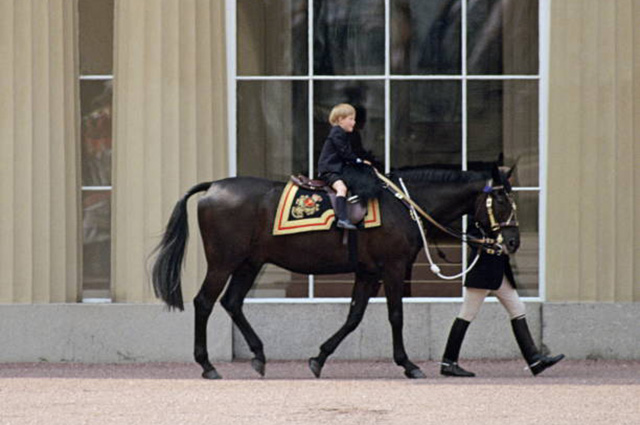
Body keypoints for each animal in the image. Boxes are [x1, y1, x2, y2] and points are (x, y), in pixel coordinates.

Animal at [151, 165, 520, 378]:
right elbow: (396, 315)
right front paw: (408, 364)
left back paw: (258, 354)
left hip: (249, 263)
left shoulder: (368, 272)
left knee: (232, 303)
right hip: (224, 261)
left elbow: (354, 316)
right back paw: (207, 365)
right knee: (204, 302)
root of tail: (214, 186)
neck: (403, 205)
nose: (514, 241)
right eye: (502, 201)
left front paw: (320, 357)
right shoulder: (392, 268)